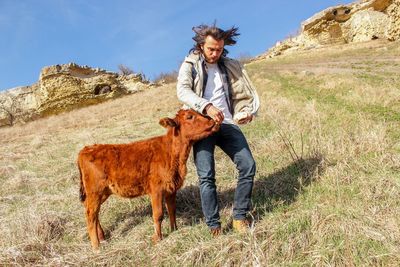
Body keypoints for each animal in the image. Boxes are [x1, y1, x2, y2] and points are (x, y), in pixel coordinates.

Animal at [77, 109, 219, 251]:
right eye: (190, 117)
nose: (212, 120)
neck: (173, 154)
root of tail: (86, 149)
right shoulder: (156, 190)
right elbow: (158, 215)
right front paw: (157, 238)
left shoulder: (171, 188)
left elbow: (172, 210)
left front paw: (174, 230)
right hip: (95, 192)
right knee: (90, 215)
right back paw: (96, 246)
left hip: (101, 193)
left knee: (93, 212)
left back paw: (101, 236)